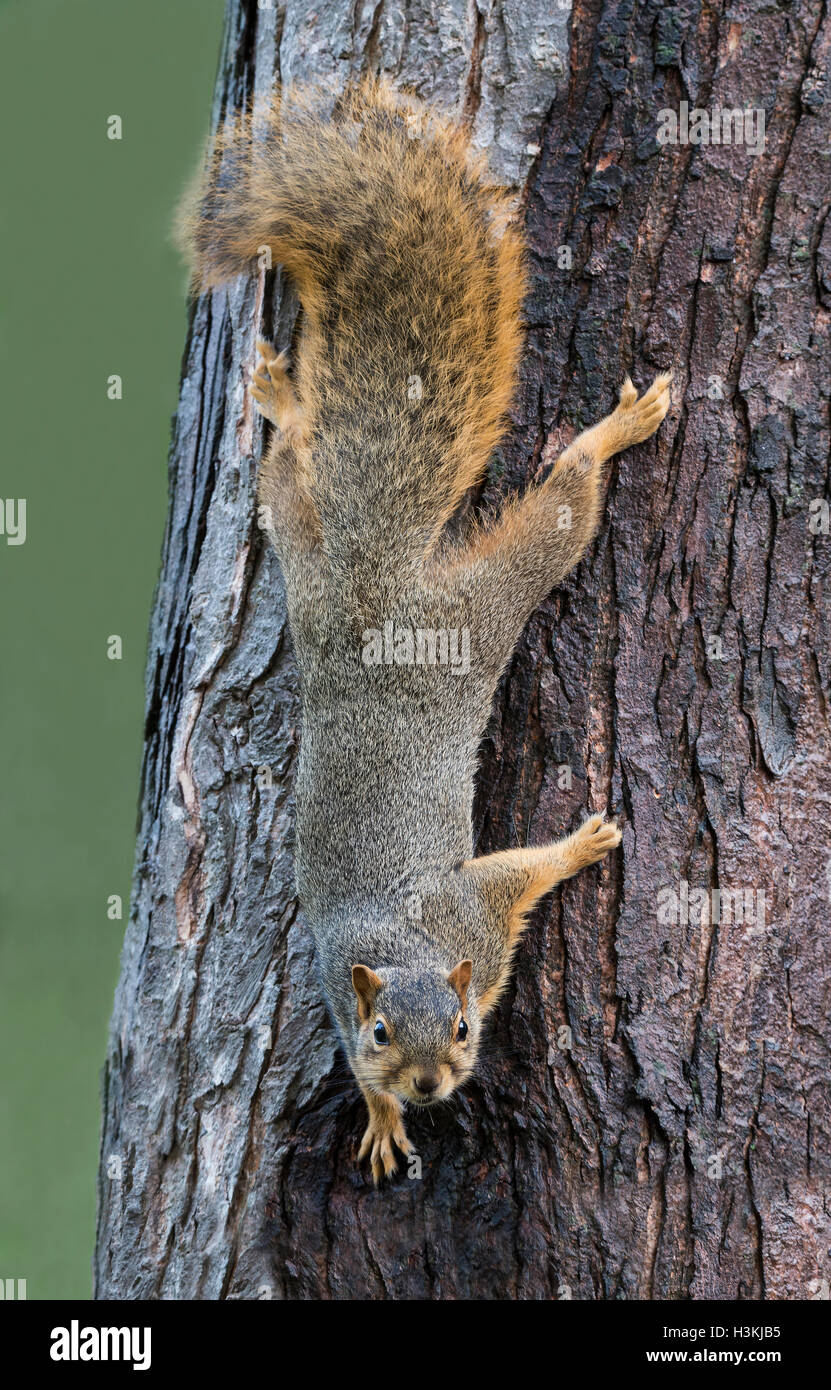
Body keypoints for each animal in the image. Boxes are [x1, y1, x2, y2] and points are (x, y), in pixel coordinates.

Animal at [179, 80, 671, 1183]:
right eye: (375, 1035)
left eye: (459, 1028)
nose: (431, 1086)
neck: (408, 952)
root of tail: (376, 587)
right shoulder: (343, 981)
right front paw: (379, 1116)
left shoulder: (473, 916)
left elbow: (519, 873)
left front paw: (581, 843)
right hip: (317, 574)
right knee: (291, 481)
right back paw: (283, 402)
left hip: (476, 602)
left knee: (563, 504)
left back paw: (616, 429)